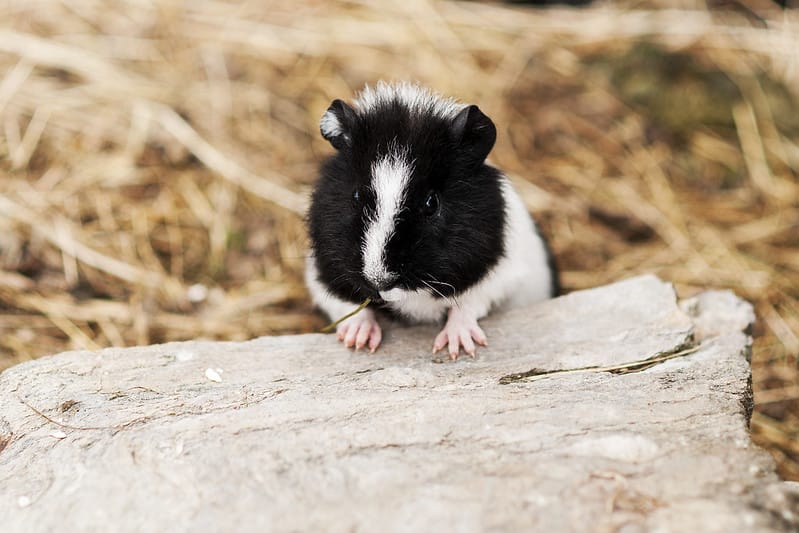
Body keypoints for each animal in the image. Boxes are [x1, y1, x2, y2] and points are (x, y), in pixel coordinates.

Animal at [306, 81, 558, 359]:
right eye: (356, 195)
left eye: (431, 203)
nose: (379, 281)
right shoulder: (321, 275)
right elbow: (348, 307)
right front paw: (357, 342)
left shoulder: (503, 276)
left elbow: (469, 304)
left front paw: (457, 348)